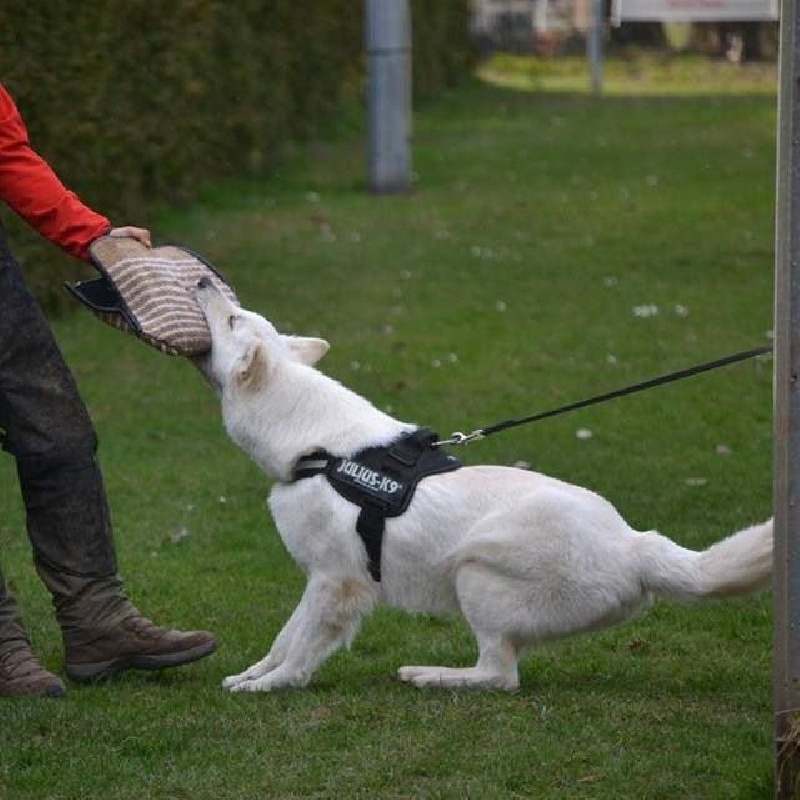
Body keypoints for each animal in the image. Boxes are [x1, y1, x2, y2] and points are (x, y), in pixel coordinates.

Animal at [197, 278, 772, 692]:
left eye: (231, 318)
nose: (203, 279)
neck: (320, 451)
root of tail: (637, 545)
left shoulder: (337, 582)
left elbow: (300, 650)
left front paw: (272, 685)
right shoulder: (316, 581)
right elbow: (283, 636)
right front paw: (252, 673)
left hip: (473, 572)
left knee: (500, 676)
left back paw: (430, 676)